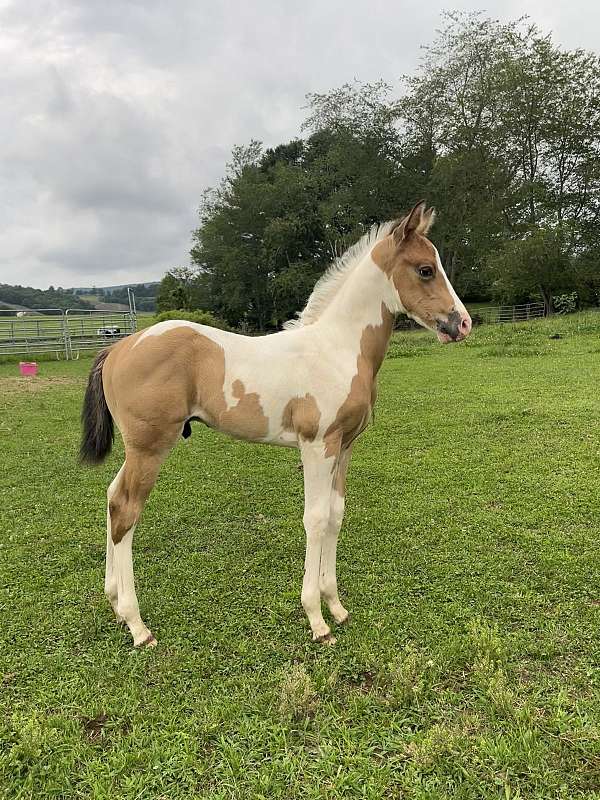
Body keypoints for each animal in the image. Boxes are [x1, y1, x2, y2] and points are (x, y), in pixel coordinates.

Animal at [80, 201, 472, 647]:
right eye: (425, 269)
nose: (462, 323)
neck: (337, 348)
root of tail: (118, 347)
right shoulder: (317, 445)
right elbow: (315, 519)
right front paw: (317, 620)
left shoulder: (345, 446)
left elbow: (335, 514)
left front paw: (336, 606)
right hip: (150, 447)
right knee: (126, 510)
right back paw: (137, 625)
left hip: (137, 449)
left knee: (112, 497)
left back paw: (114, 603)